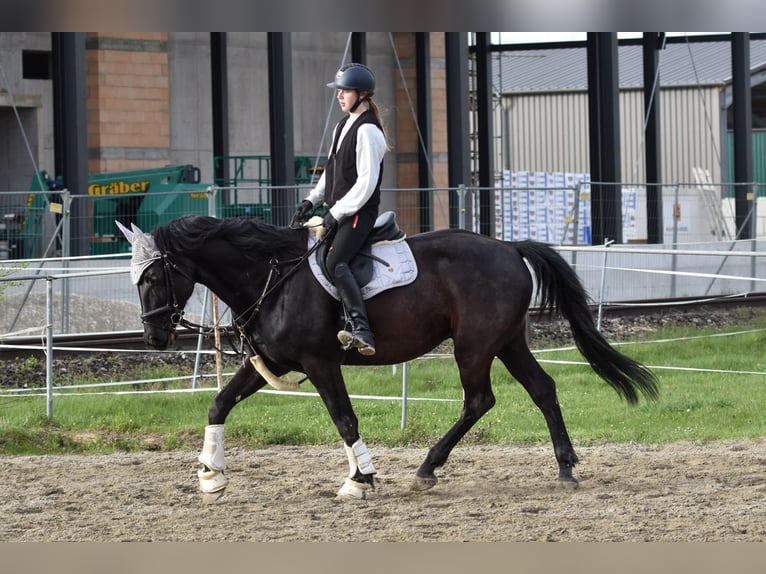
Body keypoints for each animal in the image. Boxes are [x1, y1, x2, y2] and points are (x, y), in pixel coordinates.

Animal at [120, 214, 660, 502]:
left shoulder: (319, 364)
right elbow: (219, 403)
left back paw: (428, 467)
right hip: (507, 342)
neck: (271, 277)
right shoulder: (271, 362)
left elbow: (344, 419)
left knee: (479, 400)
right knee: (543, 389)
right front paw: (211, 476)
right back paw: (565, 467)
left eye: (154, 277)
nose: (153, 336)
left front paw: (360, 480)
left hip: (473, 347)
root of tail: (507, 246)